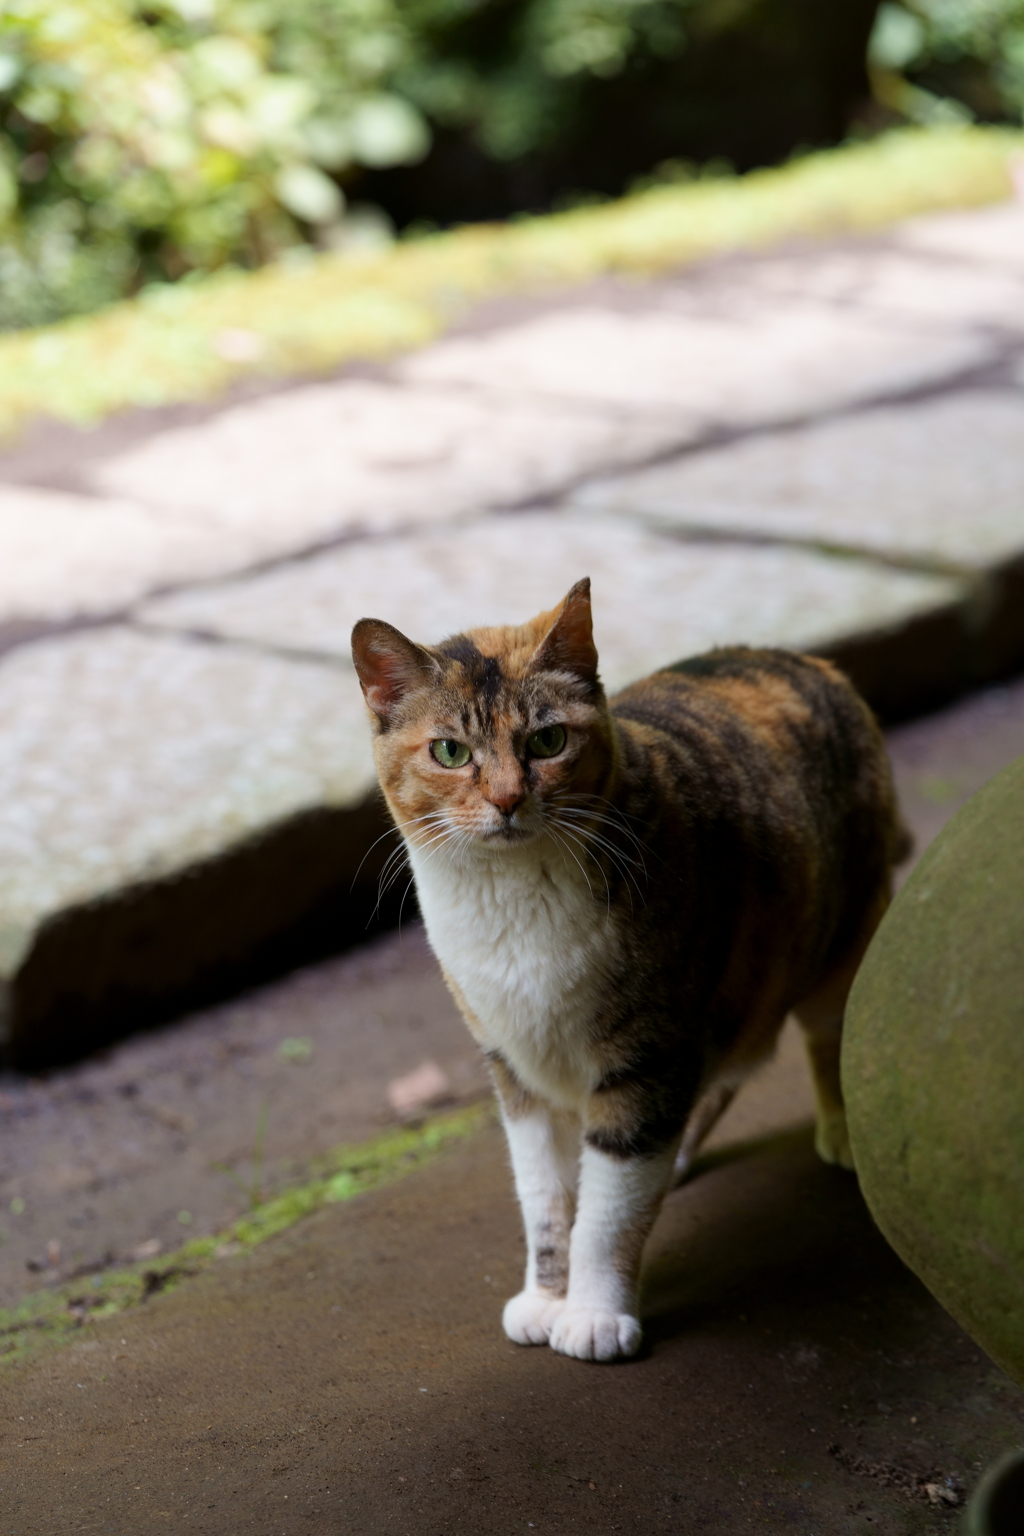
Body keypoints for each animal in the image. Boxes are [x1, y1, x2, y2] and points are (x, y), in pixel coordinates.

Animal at [350, 580, 902, 1363]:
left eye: (547, 741)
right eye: (450, 751)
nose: (508, 799)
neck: (513, 903)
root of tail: (804, 659)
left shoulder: (649, 1052)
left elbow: (610, 1207)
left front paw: (593, 1314)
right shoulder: (516, 1070)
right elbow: (545, 1199)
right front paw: (546, 1297)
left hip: (842, 930)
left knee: (829, 1034)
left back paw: (840, 1130)